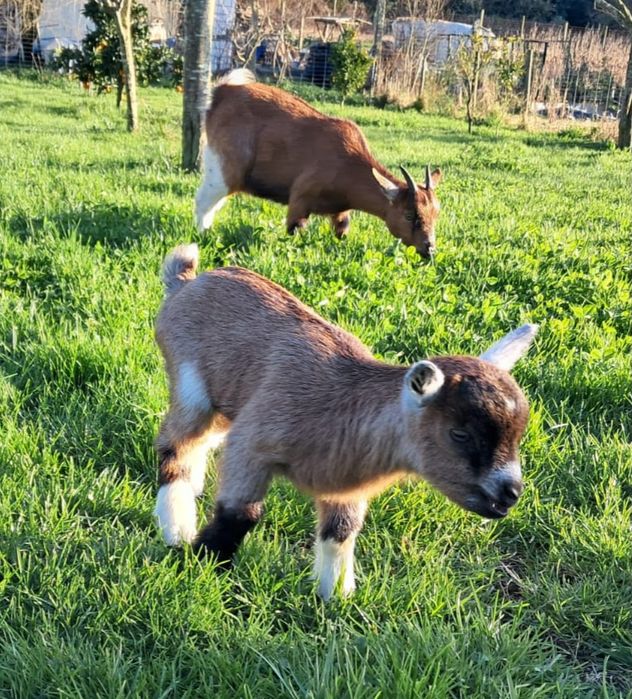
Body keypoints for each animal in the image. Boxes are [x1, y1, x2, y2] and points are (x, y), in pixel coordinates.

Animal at [154, 244, 538, 599]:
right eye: (459, 434)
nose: (510, 493)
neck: (339, 409)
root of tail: (186, 282)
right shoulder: (252, 444)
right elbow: (240, 513)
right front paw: (202, 562)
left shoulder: (346, 490)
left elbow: (340, 533)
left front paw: (336, 598)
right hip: (192, 387)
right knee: (175, 445)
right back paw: (177, 530)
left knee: (202, 442)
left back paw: (195, 490)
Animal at [195, 69, 442, 258]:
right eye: (409, 214)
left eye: (436, 214)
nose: (429, 250)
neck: (348, 162)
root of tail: (221, 93)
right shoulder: (300, 198)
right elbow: (294, 230)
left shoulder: (340, 211)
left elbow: (342, 230)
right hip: (225, 167)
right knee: (204, 200)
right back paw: (202, 235)